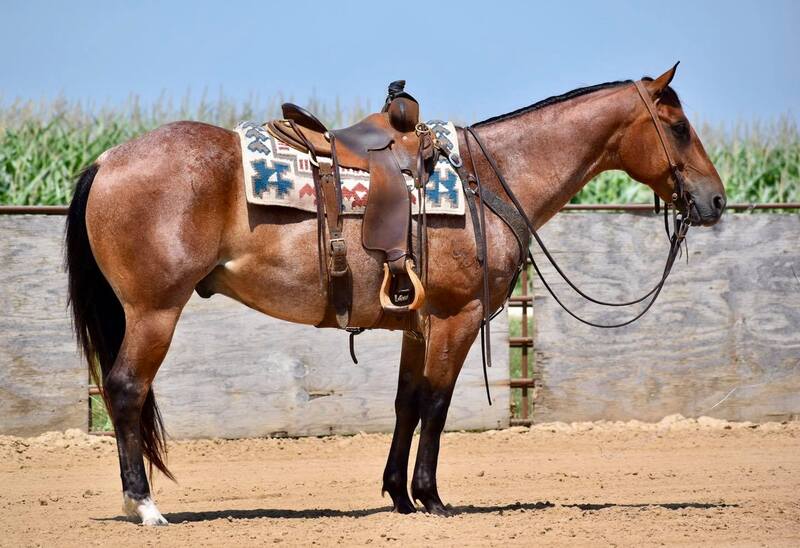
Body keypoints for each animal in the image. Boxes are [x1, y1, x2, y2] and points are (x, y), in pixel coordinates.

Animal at [64, 62, 724, 524]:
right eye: (679, 127)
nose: (714, 199)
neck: (490, 179)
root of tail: (107, 160)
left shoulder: (418, 324)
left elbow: (408, 402)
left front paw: (399, 497)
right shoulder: (457, 318)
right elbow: (437, 402)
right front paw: (431, 498)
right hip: (154, 313)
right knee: (125, 390)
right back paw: (144, 506)